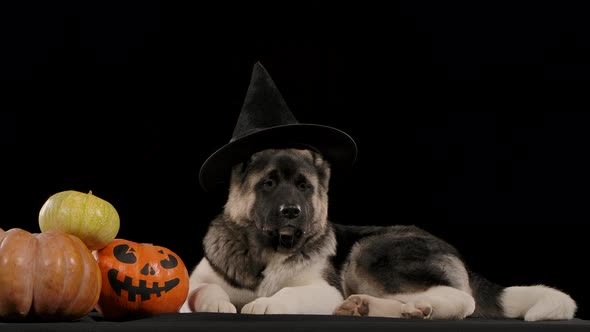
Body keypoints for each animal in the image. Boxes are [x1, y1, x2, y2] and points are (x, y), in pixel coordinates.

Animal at [180, 148, 580, 320]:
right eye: (269, 183)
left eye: (303, 186)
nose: (292, 212)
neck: (266, 253)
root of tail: (453, 252)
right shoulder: (199, 280)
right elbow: (201, 290)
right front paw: (216, 303)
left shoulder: (323, 290)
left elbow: (288, 296)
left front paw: (266, 303)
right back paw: (371, 307)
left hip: (371, 251)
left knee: (461, 299)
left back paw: (416, 307)